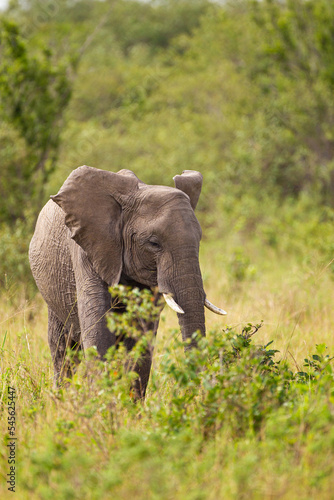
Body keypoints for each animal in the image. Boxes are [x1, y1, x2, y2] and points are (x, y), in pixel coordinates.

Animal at [30, 168, 226, 398]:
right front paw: (104, 403)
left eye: (199, 240)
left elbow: (141, 338)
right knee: (62, 348)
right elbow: (98, 332)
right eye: (154, 243)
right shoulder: (86, 251)